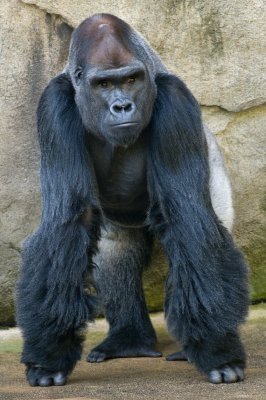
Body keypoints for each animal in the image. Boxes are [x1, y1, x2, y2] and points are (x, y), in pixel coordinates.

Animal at [17, 13, 249, 388]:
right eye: (103, 85)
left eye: (131, 79)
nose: (122, 106)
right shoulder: (53, 105)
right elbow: (70, 217)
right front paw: (49, 357)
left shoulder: (175, 99)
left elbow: (187, 216)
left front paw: (218, 351)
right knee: (116, 251)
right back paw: (129, 340)